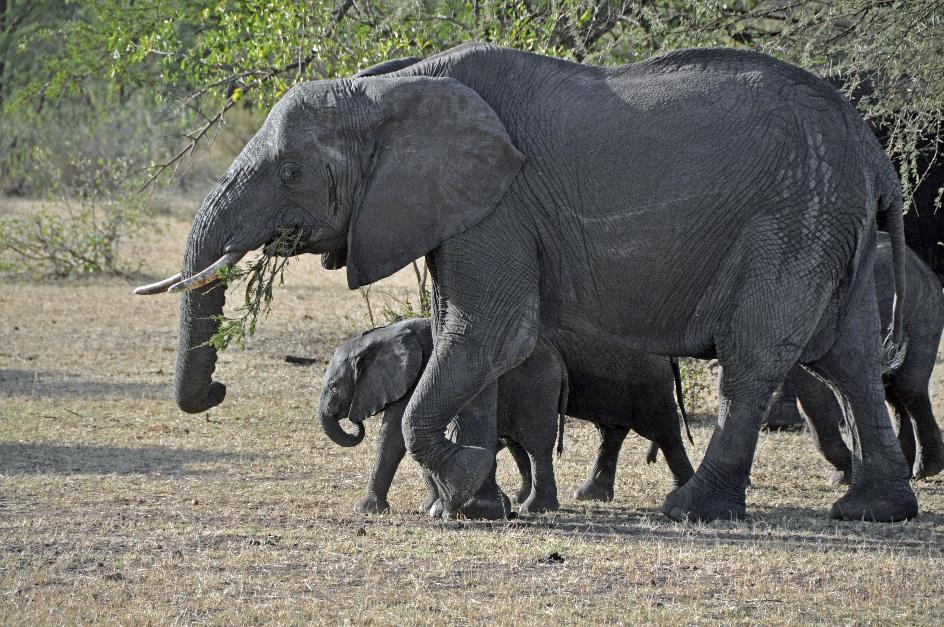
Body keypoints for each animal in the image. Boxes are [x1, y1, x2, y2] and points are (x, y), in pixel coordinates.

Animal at [136, 44, 920, 524]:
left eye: (292, 171)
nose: (216, 390)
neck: (392, 88)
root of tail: (874, 151)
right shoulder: (461, 209)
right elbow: (468, 337)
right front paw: (475, 507)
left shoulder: (499, 206)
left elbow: (489, 332)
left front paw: (462, 484)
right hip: (831, 220)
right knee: (849, 359)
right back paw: (874, 510)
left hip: (793, 218)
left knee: (757, 356)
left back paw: (694, 509)